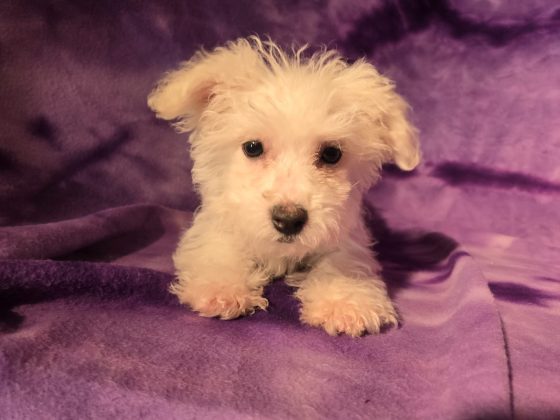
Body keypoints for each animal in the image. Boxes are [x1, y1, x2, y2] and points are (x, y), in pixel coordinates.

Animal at [148, 37, 420, 336]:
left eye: (332, 154)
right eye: (252, 147)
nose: (288, 220)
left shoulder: (344, 231)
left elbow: (342, 261)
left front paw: (346, 302)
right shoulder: (221, 222)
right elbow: (220, 250)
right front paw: (221, 287)